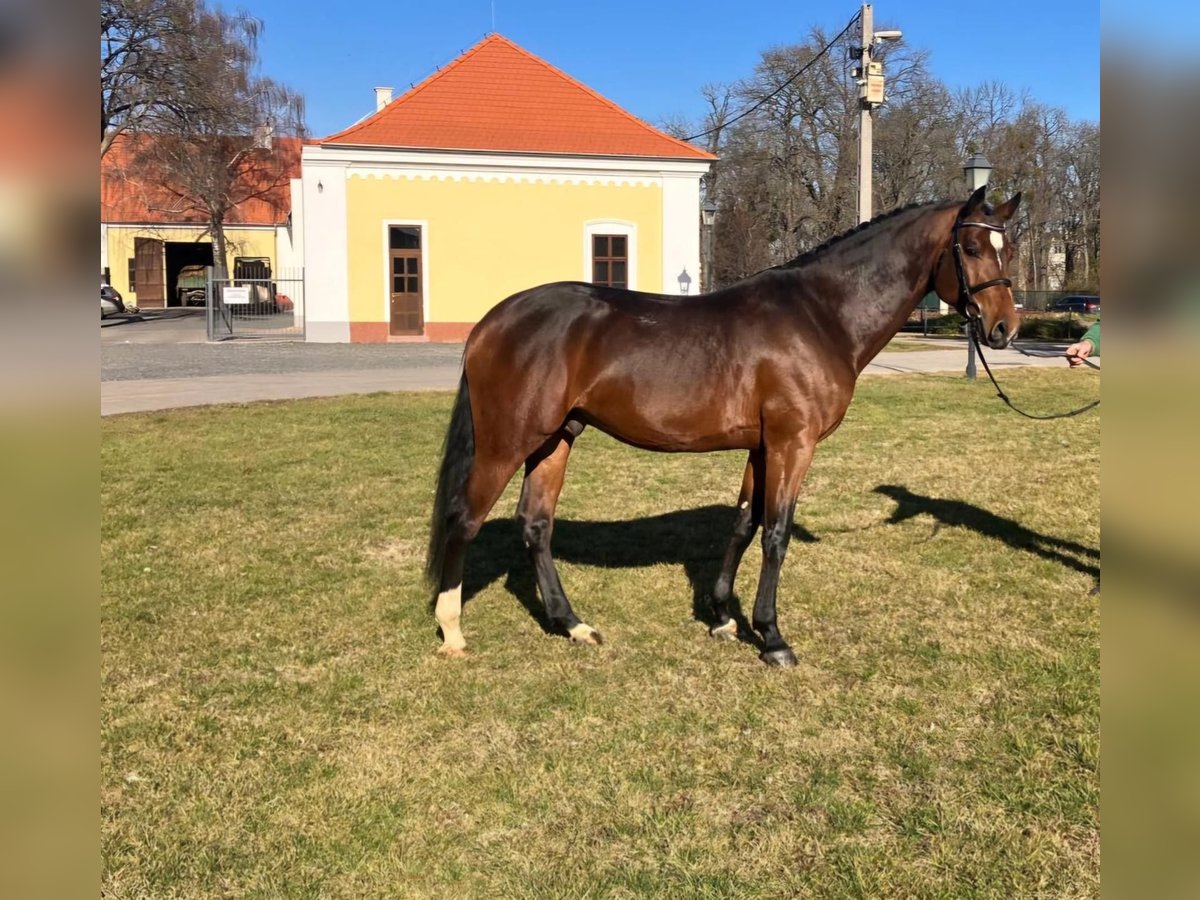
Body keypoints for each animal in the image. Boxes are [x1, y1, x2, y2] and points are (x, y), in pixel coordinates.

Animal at [427, 187, 1017, 667]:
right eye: (970, 247)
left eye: (1006, 248)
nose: (1004, 328)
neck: (820, 314)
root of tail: (490, 323)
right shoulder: (793, 444)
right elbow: (776, 533)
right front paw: (772, 637)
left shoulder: (762, 447)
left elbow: (742, 523)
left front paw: (723, 616)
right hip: (507, 443)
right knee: (466, 519)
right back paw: (452, 631)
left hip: (554, 440)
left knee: (536, 525)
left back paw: (572, 624)